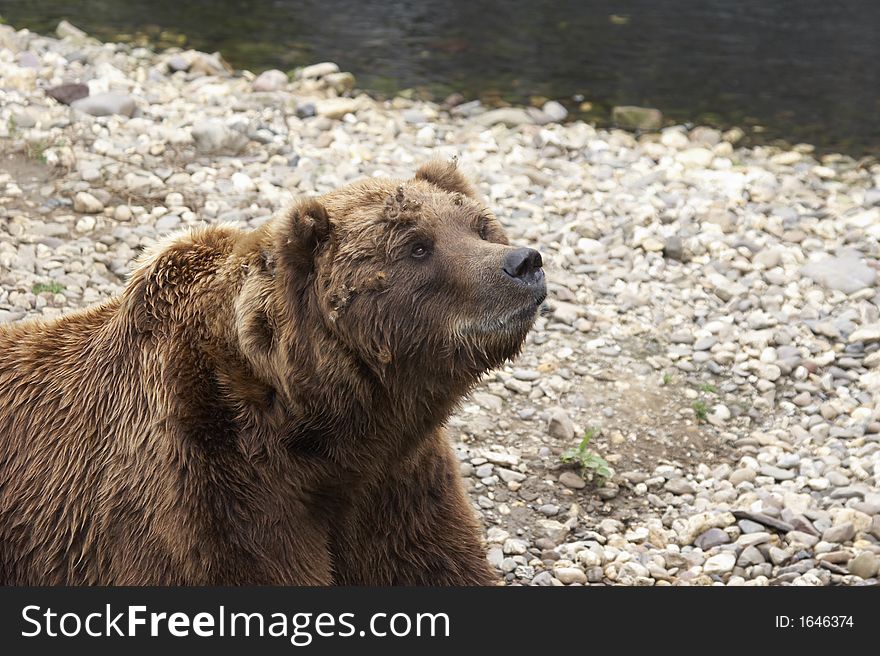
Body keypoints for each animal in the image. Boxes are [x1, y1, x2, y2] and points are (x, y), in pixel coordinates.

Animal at [0, 160, 548, 584]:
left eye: (480, 227)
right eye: (417, 245)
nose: (523, 262)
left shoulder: (399, 482)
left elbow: (433, 563)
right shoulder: (212, 490)